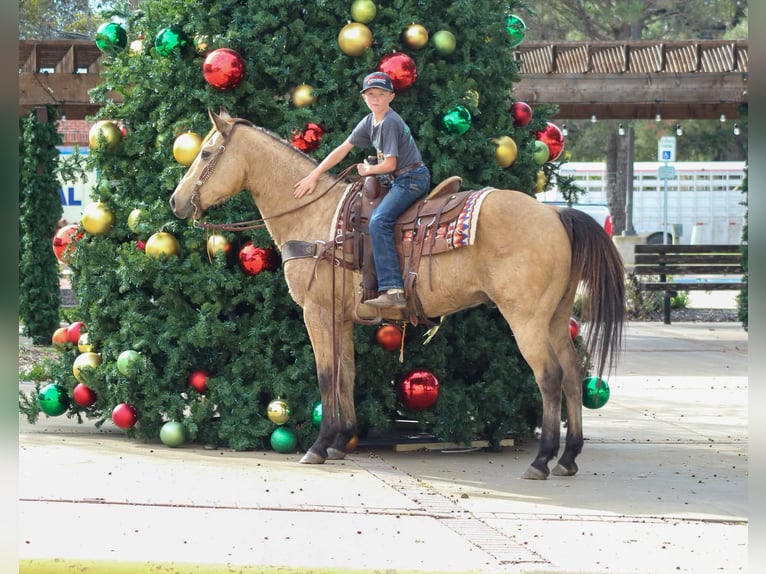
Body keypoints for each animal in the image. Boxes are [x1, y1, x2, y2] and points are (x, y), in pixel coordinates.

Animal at [170, 109, 625, 480]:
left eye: (206, 154)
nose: (176, 202)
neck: (315, 217)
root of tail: (555, 213)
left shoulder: (317, 313)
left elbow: (325, 374)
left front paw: (319, 445)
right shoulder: (341, 318)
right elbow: (347, 374)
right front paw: (341, 441)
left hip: (527, 318)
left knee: (549, 377)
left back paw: (542, 460)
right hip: (555, 316)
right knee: (571, 374)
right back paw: (568, 458)